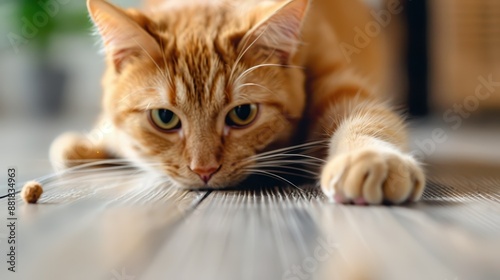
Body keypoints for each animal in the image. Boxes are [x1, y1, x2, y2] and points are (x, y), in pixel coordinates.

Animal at [49, 0, 426, 203]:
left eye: (242, 114)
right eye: (165, 118)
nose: (204, 171)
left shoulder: (337, 80)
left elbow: (366, 117)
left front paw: (373, 158)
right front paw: (91, 141)